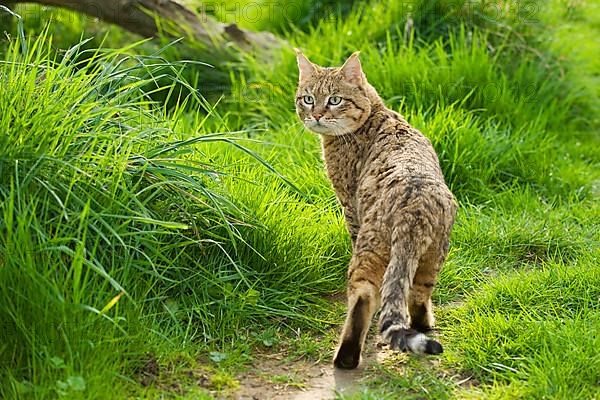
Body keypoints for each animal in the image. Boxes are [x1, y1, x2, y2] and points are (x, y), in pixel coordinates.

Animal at [294, 49, 454, 368]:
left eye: (334, 99)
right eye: (307, 98)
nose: (316, 114)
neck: (376, 114)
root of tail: (413, 209)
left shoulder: (348, 204)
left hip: (372, 247)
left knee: (369, 296)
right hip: (432, 254)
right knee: (412, 294)